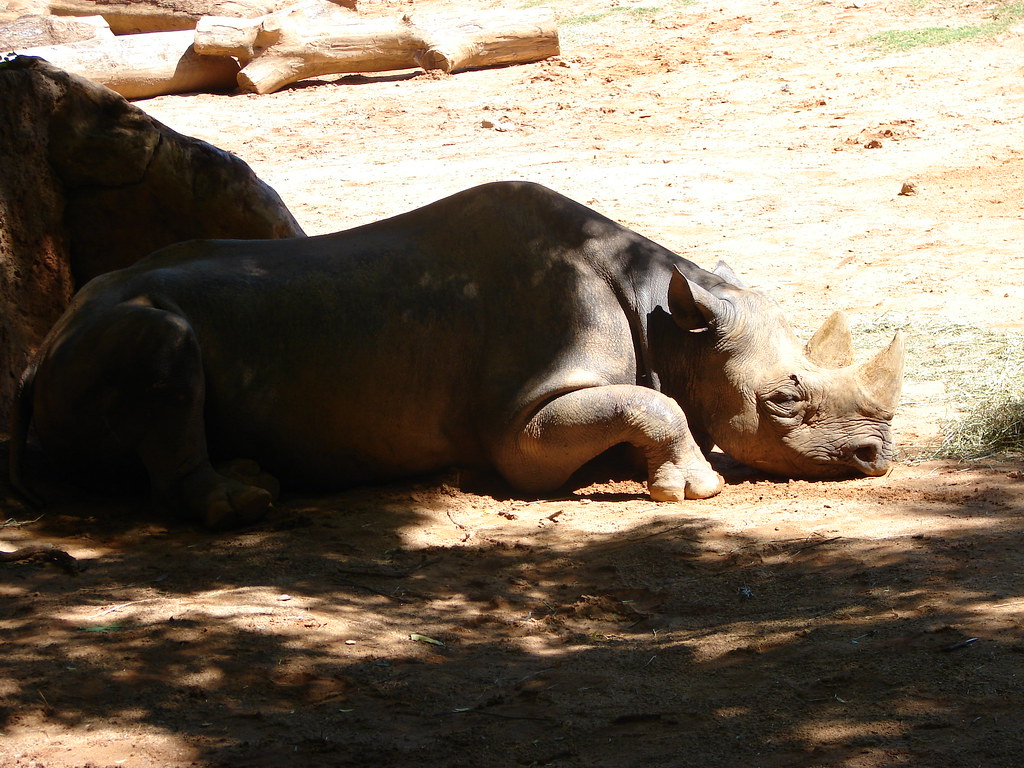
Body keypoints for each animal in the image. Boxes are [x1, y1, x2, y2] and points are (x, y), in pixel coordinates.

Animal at [10, 181, 904, 529]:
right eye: (783, 401)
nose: (876, 459)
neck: (668, 318)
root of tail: (36, 355)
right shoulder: (521, 425)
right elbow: (648, 405)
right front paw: (694, 489)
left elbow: (651, 403)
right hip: (110, 329)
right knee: (161, 344)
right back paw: (245, 503)